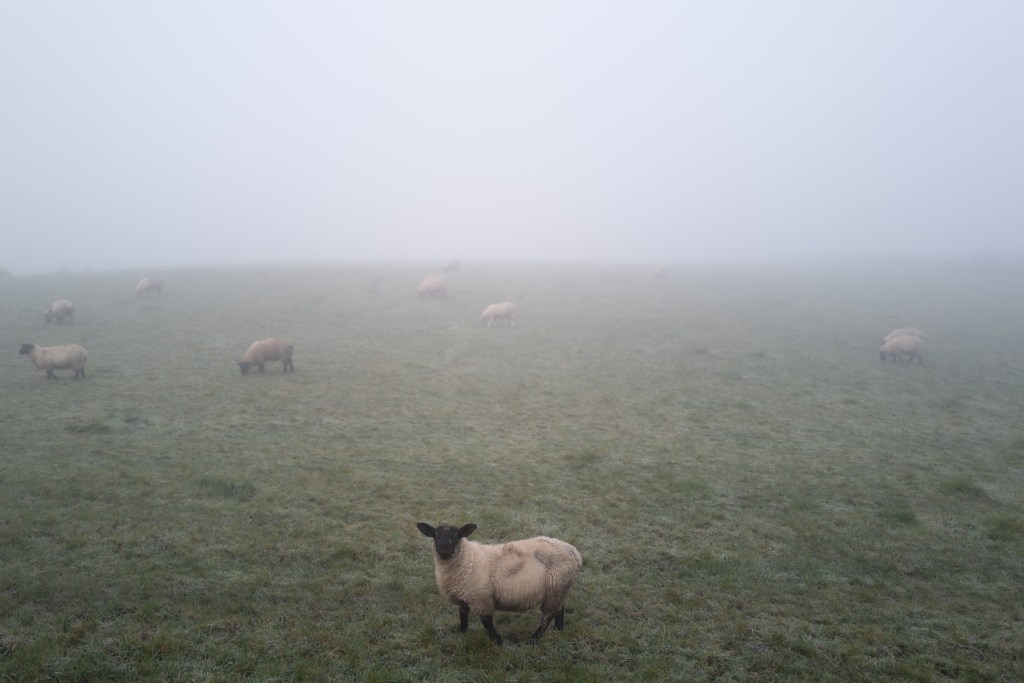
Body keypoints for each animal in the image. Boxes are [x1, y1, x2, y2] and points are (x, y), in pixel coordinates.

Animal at [417, 522, 582, 645]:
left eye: (457, 535)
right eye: (435, 535)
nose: (444, 547)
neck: (467, 558)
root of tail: (572, 550)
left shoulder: (481, 597)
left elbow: (486, 622)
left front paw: (497, 641)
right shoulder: (464, 597)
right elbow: (463, 615)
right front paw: (461, 633)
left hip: (556, 588)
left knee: (548, 615)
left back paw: (534, 639)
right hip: (559, 588)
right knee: (560, 608)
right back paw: (558, 630)